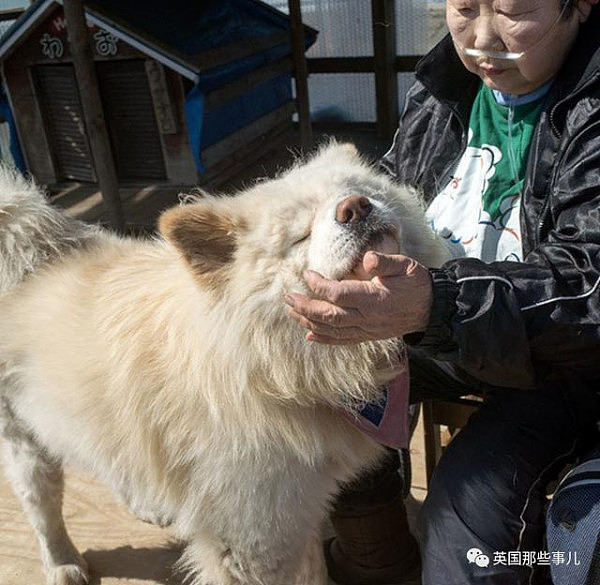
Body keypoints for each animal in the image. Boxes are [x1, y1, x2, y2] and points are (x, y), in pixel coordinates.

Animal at [0, 143, 448, 584]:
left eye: (359, 191)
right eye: (299, 237)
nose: (354, 207)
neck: (272, 369)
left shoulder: (299, 513)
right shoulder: (252, 535)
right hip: (25, 443)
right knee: (42, 507)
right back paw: (62, 564)